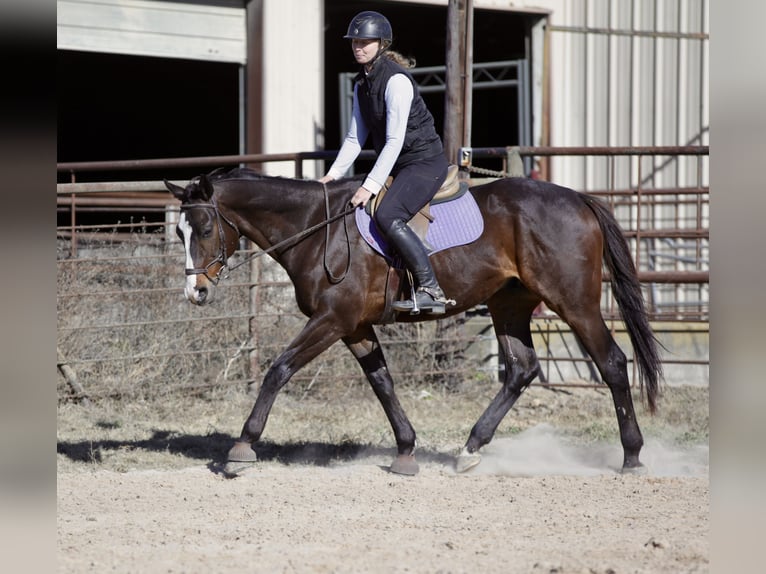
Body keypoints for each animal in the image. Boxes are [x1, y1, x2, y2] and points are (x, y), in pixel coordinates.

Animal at [165, 167, 662, 477]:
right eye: (178, 231)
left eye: (204, 229)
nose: (195, 293)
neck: (318, 229)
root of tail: (578, 198)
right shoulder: (355, 327)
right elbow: (382, 383)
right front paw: (406, 450)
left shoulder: (332, 320)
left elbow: (278, 369)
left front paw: (242, 447)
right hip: (510, 304)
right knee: (521, 370)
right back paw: (469, 450)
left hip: (573, 303)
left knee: (612, 363)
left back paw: (633, 456)